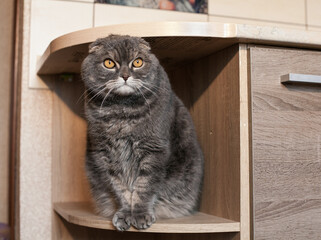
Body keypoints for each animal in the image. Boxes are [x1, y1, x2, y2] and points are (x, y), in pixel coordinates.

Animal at [81, 35, 204, 231]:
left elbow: (145, 186)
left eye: (137, 62)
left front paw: (139, 215)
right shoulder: (106, 155)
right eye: (109, 63)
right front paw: (125, 214)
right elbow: (119, 187)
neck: (122, 113)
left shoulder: (154, 150)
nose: (125, 76)